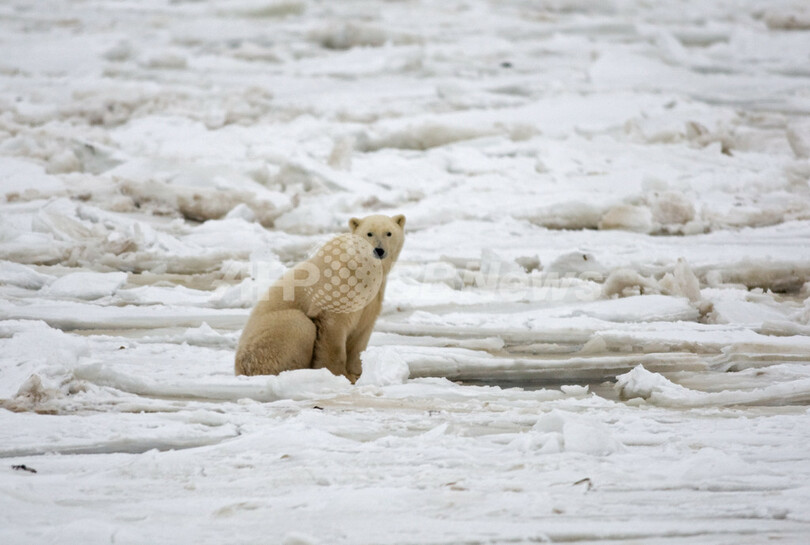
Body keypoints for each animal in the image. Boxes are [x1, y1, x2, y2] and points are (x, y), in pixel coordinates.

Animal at [237, 214, 408, 382]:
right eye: (369, 233)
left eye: (388, 233)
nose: (378, 250)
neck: (359, 269)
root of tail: (239, 369)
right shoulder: (336, 288)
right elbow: (332, 330)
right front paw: (340, 374)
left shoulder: (371, 298)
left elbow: (362, 332)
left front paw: (357, 373)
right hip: (266, 338)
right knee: (298, 324)